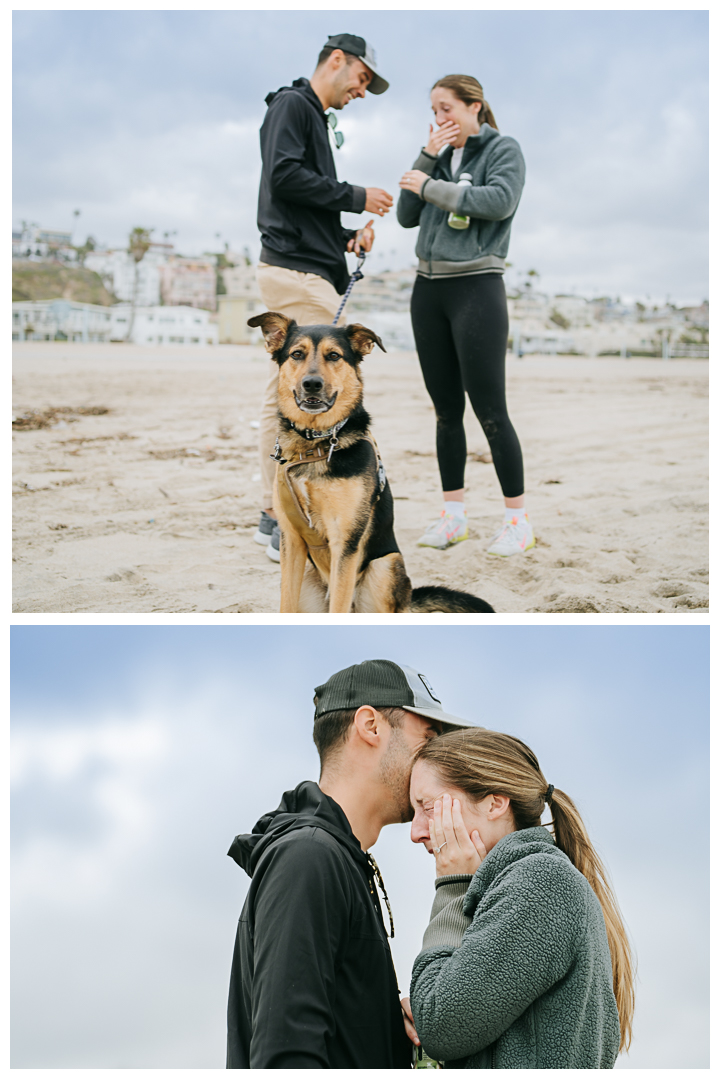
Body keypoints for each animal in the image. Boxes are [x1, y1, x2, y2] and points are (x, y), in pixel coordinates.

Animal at [249, 313, 496, 617]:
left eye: (334, 356)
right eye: (297, 354)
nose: (312, 384)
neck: (317, 443)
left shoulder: (346, 541)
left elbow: (339, 606)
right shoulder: (292, 541)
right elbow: (286, 604)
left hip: (386, 565)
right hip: (310, 573)